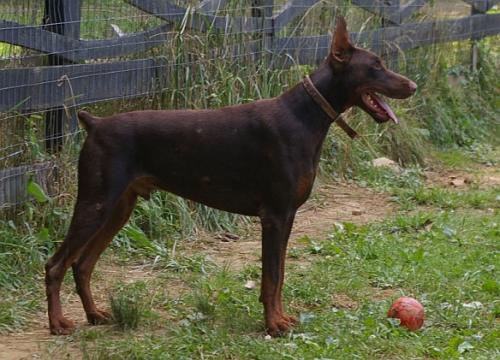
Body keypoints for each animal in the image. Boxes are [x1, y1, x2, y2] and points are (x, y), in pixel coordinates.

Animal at [45, 16, 416, 336]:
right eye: (376, 66)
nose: (412, 85)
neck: (305, 117)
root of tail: (94, 123)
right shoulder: (275, 215)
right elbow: (272, 277)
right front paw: (273, 325)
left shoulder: (288, 216)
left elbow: (279, 274)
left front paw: (280, 319)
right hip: (96, 202)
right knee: (56, 264)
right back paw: (58, 323)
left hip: (120, 207)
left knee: (82, 264)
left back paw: (94, 314)